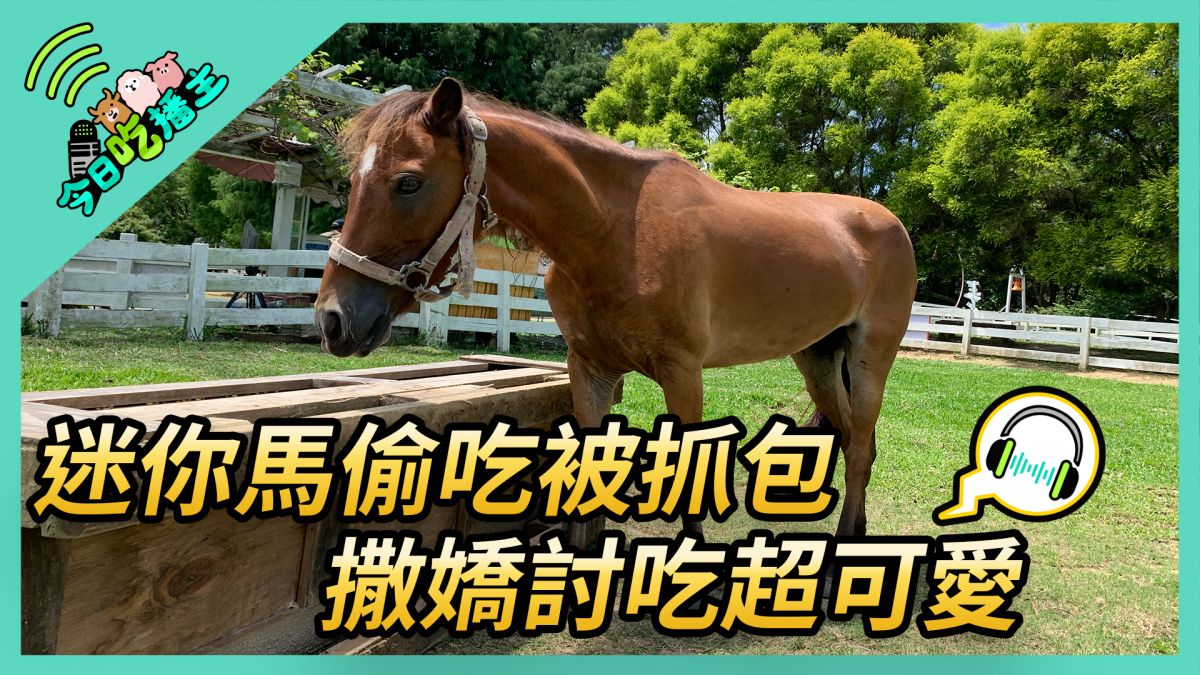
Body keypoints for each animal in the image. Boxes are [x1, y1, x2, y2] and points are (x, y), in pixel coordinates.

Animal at [314, 78, 918, 545]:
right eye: (354, 180)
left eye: (408, 182)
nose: (333, 319)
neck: (615, 234)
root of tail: (887, 223)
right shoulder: (591, 370)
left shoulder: (683, 374)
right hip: (817, 357)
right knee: (854, 439)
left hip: (870, 357)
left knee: (859, 448)